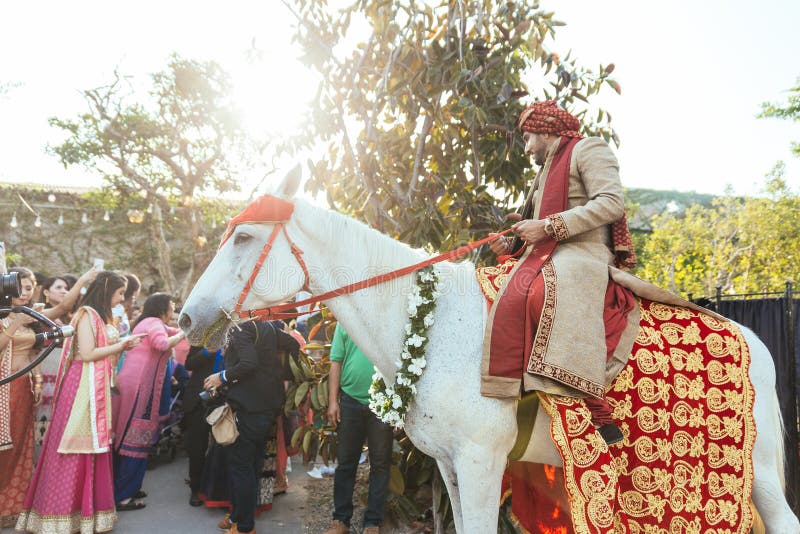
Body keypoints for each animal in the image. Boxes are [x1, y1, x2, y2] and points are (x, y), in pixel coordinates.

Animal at [181, 173, 800, 534]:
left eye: (243, 238)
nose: (188, 318)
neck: (432, 325)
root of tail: (756, 341)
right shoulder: (451, 465)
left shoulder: (482, 460)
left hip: (755, 470)